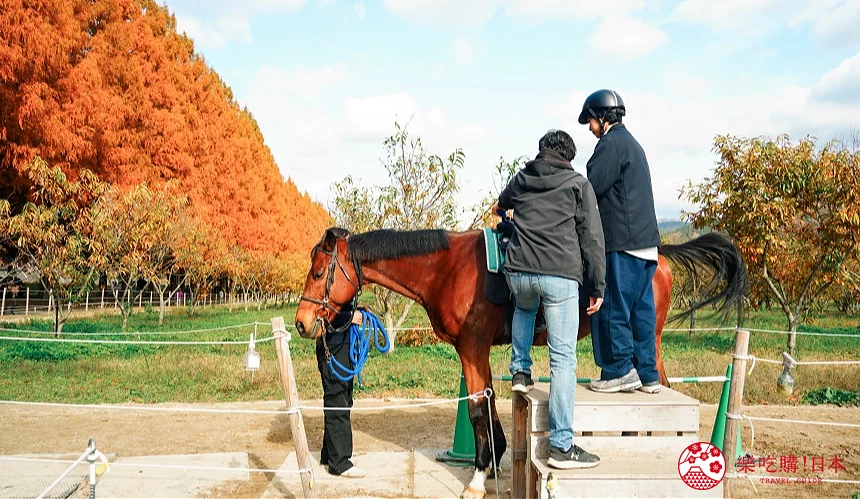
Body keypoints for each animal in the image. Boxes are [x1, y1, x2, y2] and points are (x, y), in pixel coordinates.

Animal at [294, 227, 748, 499]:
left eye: (317, 273)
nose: (301, 323)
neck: (447, 268)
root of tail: (659, 255)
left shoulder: (473, 347)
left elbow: (477, 408)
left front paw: (478, 477)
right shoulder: (471, 351)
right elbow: (487, 402)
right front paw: (495, 457)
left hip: (646, 341)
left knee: (660, 386)